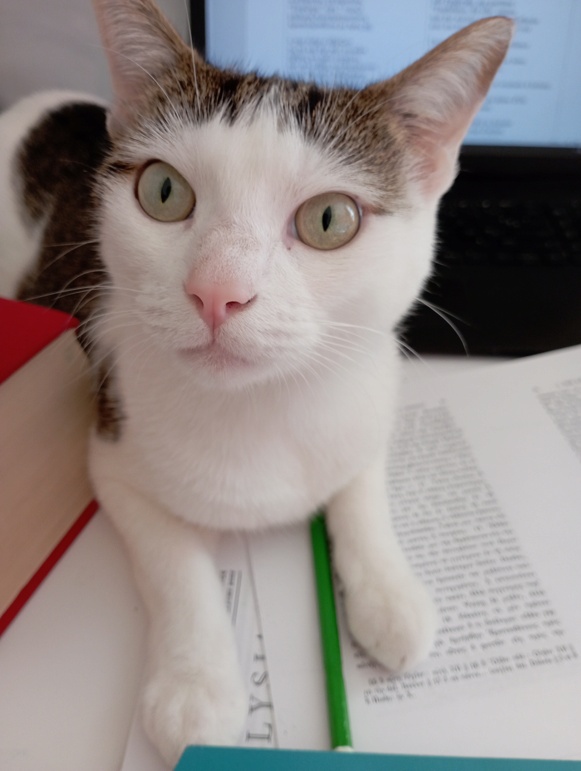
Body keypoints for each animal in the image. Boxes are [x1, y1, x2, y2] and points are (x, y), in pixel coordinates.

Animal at [0, 1, 510, 764]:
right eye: (163, 191)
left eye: (329, 219)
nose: (218, 292)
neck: (266, 405)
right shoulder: (111, 451)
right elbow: (176, 567)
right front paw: (195, 688)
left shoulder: (370, 396)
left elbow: (361, 490)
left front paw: (390, 595)